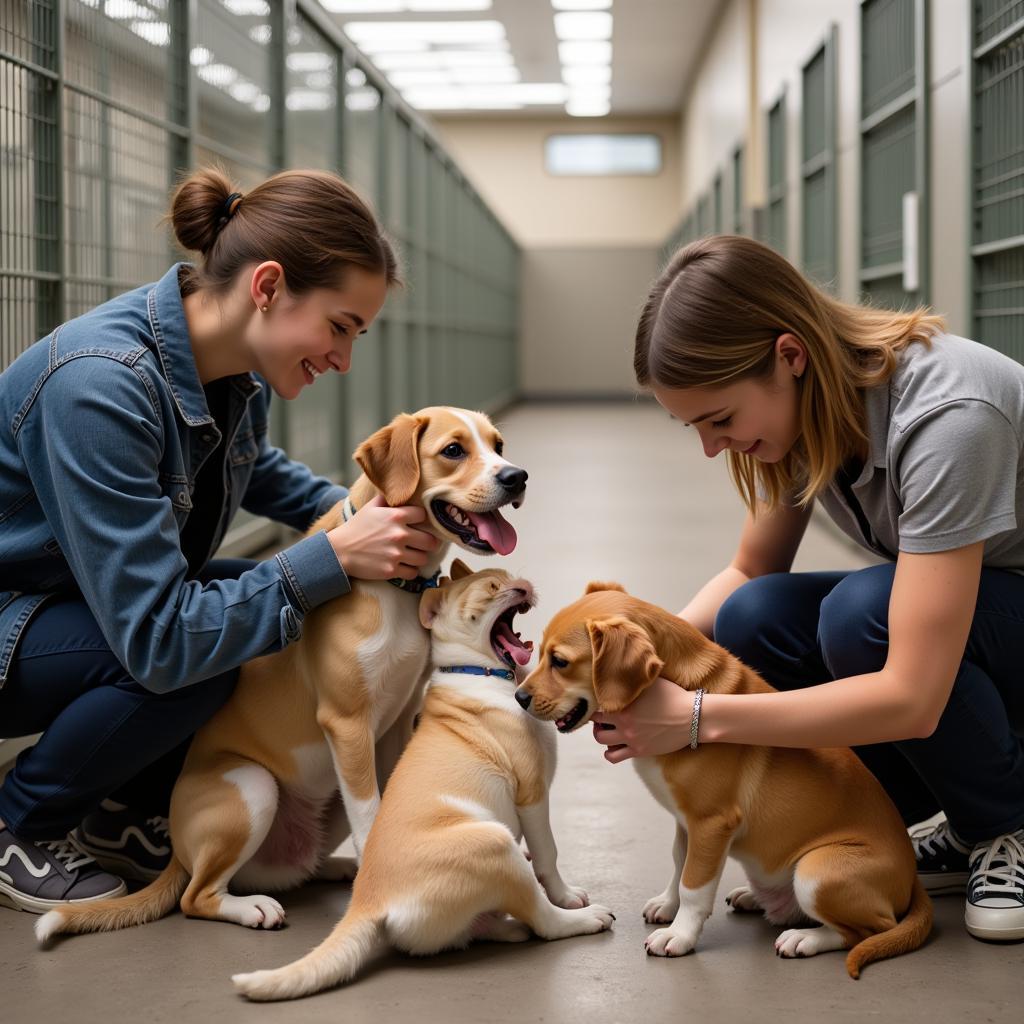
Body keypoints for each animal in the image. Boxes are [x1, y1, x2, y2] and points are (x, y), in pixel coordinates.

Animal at [35, 405, 524, 942]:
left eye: (499, 445)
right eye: (453, 450)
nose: (517, 476)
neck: (395, 584)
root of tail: (178, 854)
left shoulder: (395, 722)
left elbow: (388, 803)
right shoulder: (347, 724)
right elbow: (370, 813)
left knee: (294, 869)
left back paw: (334, 867)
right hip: (253, 786)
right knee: (196, 898)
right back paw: (252, 909)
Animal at [231, 561, 610, 999]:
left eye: (508, 575)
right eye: (491, 588)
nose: (522, 586)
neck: (480, 671)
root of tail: (368, 903)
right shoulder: (533, 793)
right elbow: (548, 855)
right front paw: (566, 896)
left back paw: (502, 927)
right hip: (494, 843)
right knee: (543, 921)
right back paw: (581, 920)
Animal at [516, 581, 933, 978]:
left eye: (560, 662)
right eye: (540, 654)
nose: (519, 696)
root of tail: (911, 881)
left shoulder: (712, 822)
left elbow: (694, 885)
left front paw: (680, 935)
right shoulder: (687, 822)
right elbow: (680, 864)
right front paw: (668, 905)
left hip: (817, 870)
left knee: (869, 930)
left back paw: (805, 939)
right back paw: (756, 898)